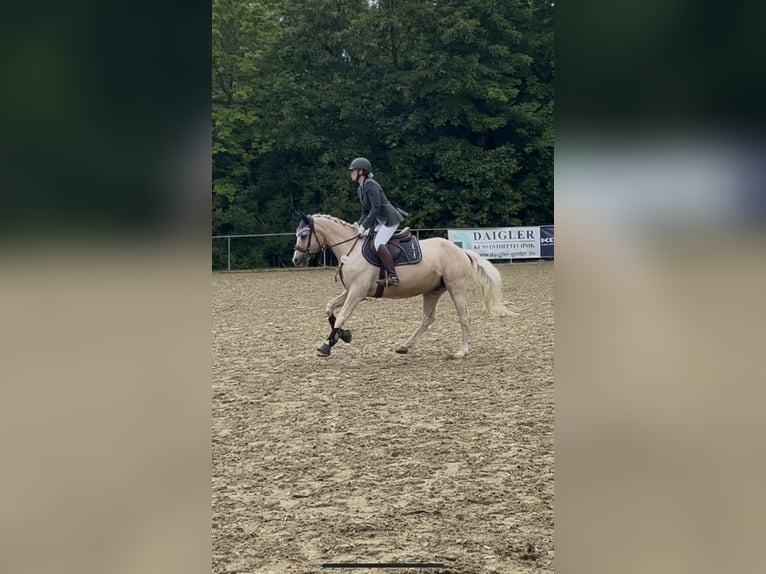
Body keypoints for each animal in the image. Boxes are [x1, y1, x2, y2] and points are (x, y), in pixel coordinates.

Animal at [291, 211, 512, 358]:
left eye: (303, 235)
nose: (296, 260)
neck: (350, 249)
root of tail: (461, 251)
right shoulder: (351, 291)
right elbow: (330, 308)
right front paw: (343, 336)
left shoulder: (357, 292)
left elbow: (341, 317)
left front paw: (327, 345)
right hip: (432, 291)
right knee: (427, 319)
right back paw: (405, 345)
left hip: (455, 288)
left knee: (464, 317)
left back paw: (462, 351)